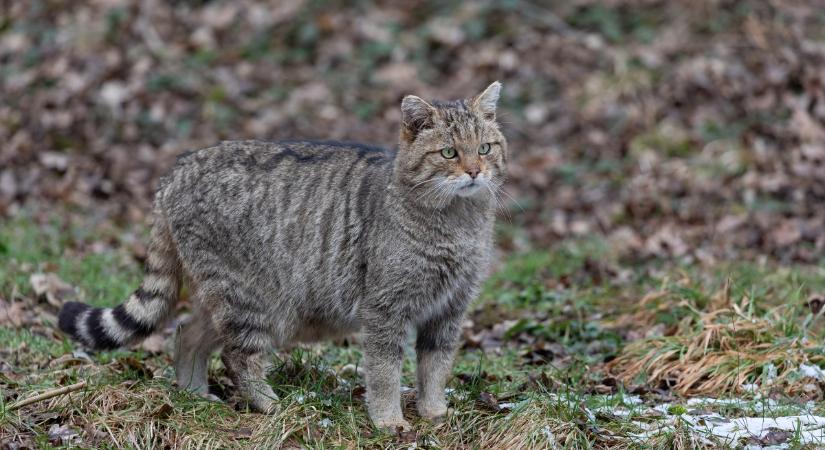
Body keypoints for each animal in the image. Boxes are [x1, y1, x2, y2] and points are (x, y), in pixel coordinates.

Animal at [58, 81, 506, 432]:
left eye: (485, 148)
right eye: (449, 153)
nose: (474, 172)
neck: (457, 223)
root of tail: (178, 170)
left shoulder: (450, 309)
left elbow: (435, 367)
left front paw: (434, 412)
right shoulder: (385, 309)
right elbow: (385, 373)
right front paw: (389, 421)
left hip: (223, 298)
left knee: (186, 332)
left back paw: (194, 396)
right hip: (250, 299)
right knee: (238, 355)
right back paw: (270, 405)